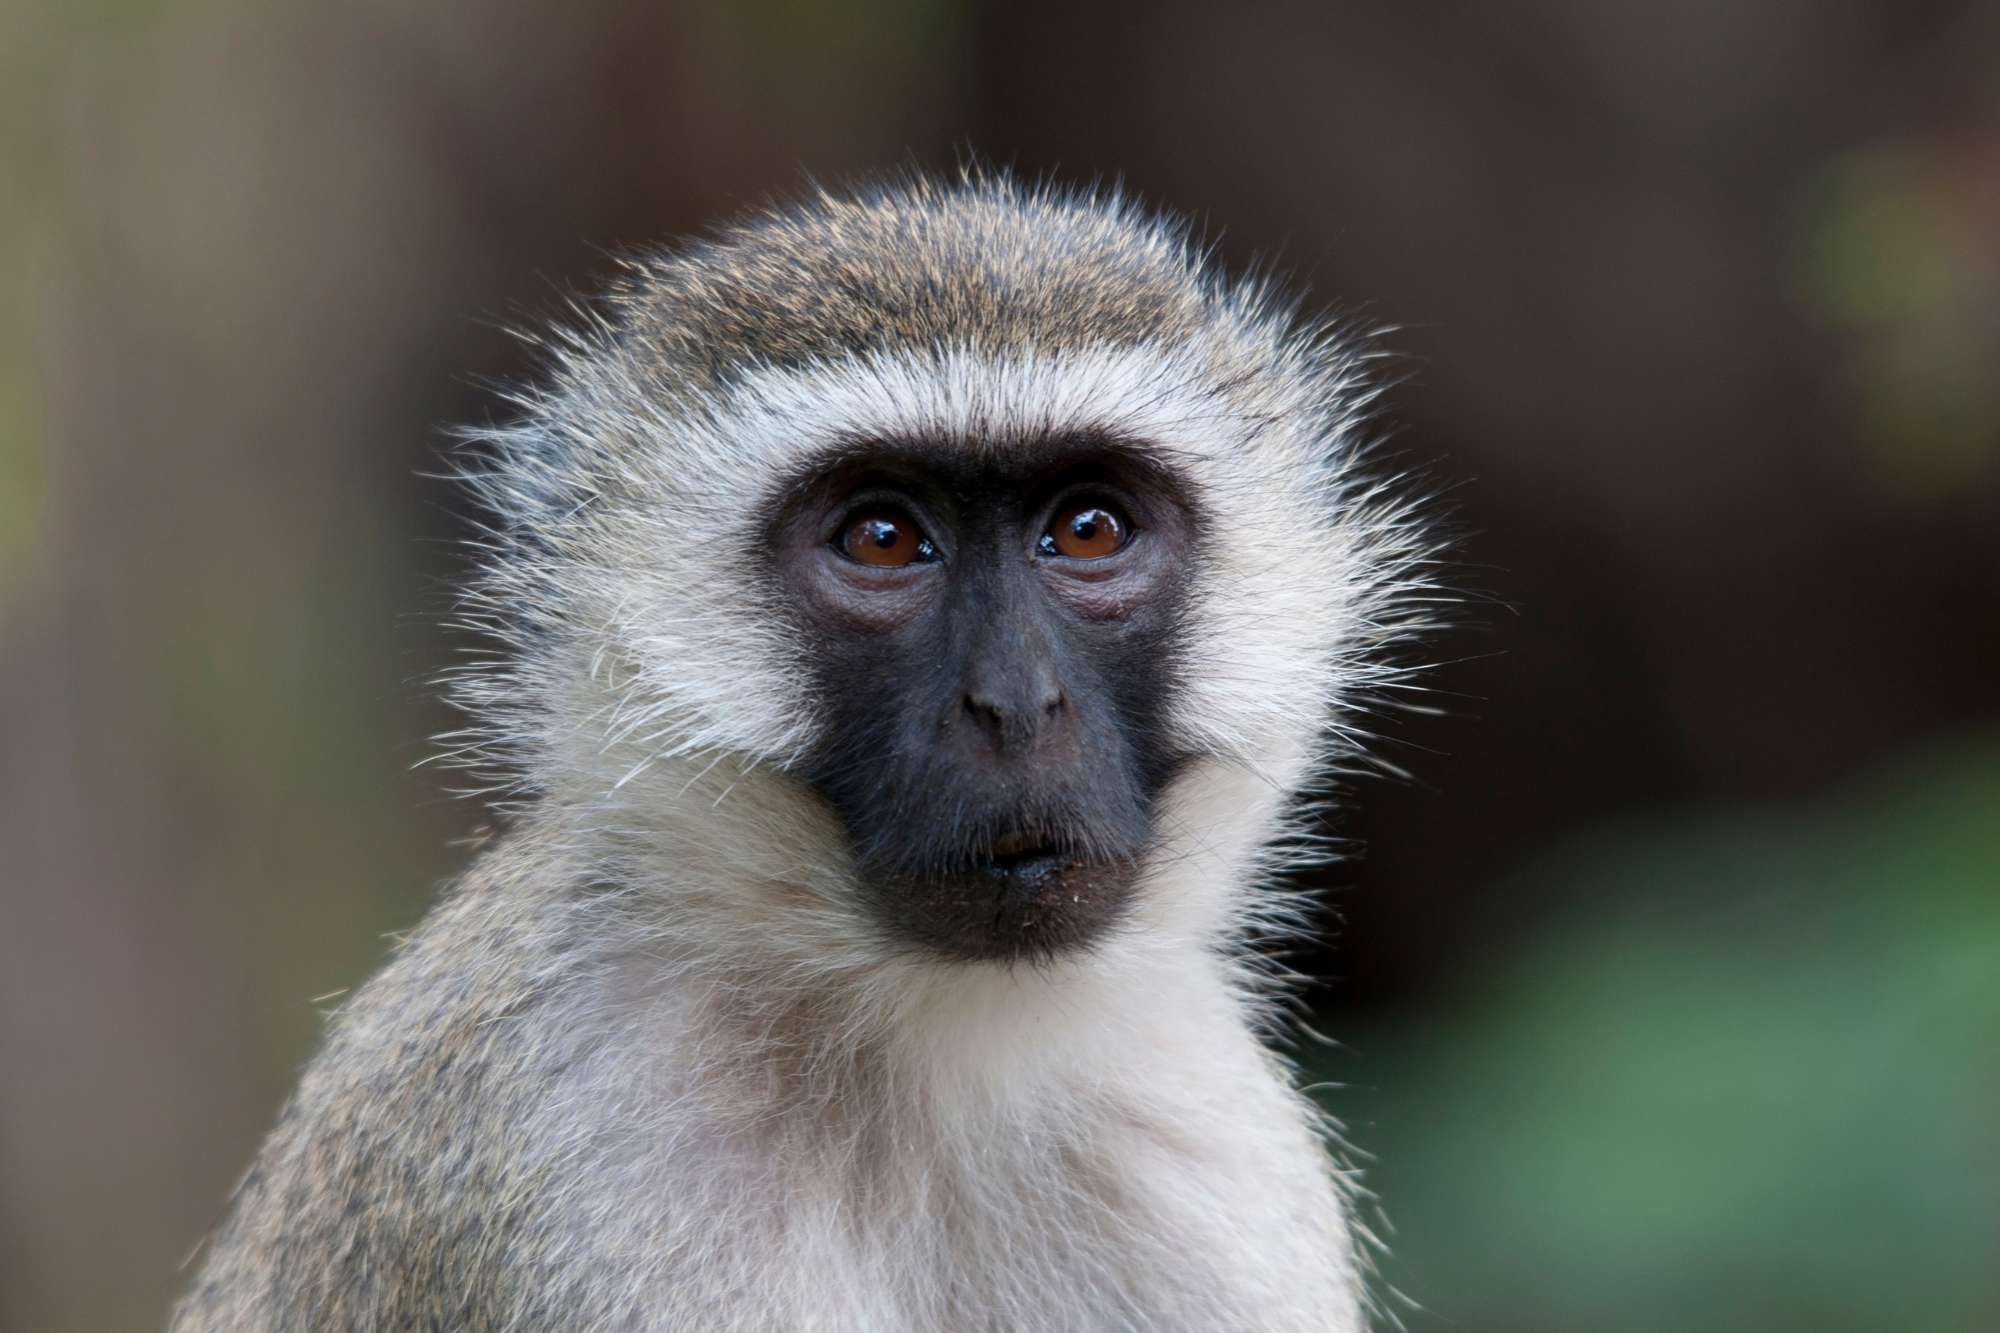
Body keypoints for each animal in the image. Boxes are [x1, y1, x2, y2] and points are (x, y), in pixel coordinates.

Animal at [164, 176, 1432, 1328]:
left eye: (1086, 529)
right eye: (880, 538)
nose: (1016, 706)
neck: (931, 1054)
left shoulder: (1211, 1145)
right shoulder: (582, 1153)